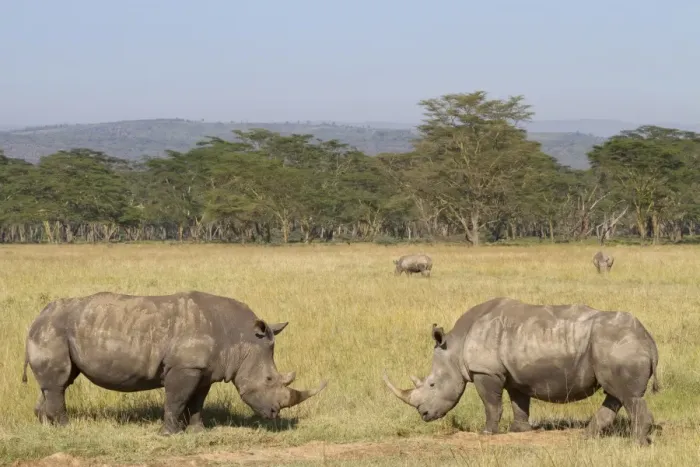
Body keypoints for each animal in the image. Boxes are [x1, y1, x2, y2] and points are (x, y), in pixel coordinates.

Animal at [22, 291, 327, 435]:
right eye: (268, 380)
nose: (275, 415)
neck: (241, 339)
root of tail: (37, 317)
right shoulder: (184, 367)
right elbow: (177, 399)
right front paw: (169, 433)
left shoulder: (204, 370)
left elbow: (196, 402)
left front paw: (197, 431)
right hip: (53, 329)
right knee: (59, 382)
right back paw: (65, 428)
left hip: (58, 329)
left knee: (56, 383)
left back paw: (46, 427)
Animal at [382, 297, 660, 445]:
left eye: (432, 384)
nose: (424, 414)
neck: (455, 345)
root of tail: (648, 338)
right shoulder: (515, 374)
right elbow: (519, 401)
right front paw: (520, 431)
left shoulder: (485, 372)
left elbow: (491, 404)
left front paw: (487, 433)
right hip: (616, 346)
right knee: (616, 394)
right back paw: (586, 437)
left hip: (618, 345)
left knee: (627, 395)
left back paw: (635, 444)